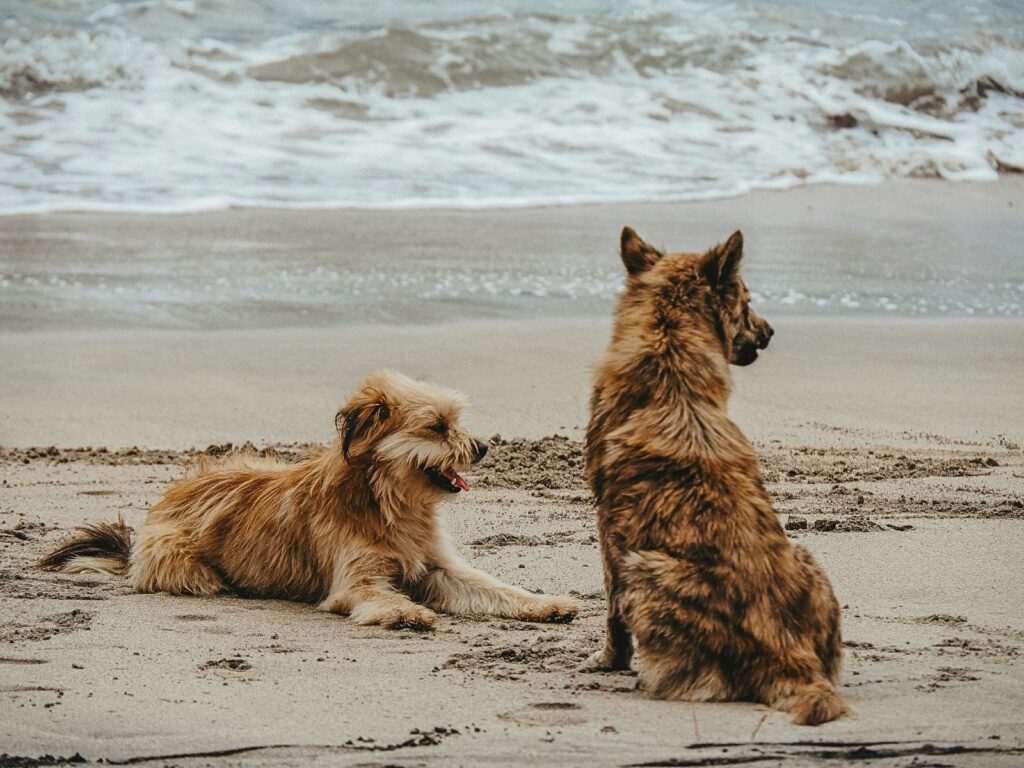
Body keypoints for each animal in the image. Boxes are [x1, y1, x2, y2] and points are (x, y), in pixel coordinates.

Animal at [39, 370, 581, 630]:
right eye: (437, 427)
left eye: (456, 422)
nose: (484, 447)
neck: (386, 501)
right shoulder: (356, 579)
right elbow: (375, 595)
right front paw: (404, 612)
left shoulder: (439, 568)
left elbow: (496, 588)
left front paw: (546, 604)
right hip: (182, 561)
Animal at [585, 228, 847, 729]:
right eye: (748, 301)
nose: (770, 331)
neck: (668, 350)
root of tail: (787, 655)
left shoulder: (608, 529)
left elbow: (611, 613)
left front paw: (609, 660)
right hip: (808, 558)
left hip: (643, 570)